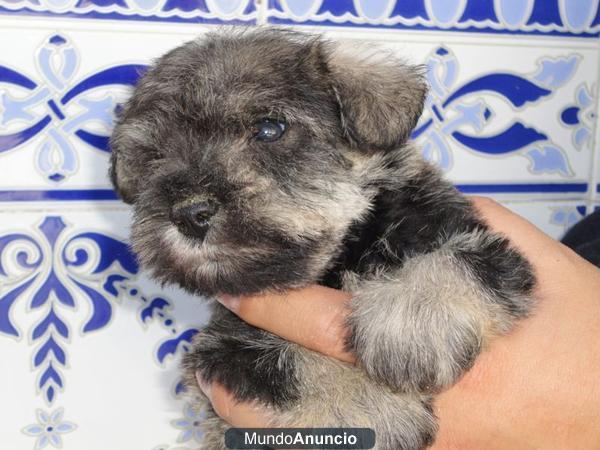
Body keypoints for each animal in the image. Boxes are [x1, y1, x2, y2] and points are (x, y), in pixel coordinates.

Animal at [110, 29, 536, 450]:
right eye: (154, 156)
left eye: (270, 128)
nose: (188, 213)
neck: (338, 257)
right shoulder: (223, 345)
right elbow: (290, 362)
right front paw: (365, 407)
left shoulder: (468, 235)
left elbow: (459, 262)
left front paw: (414, 325)